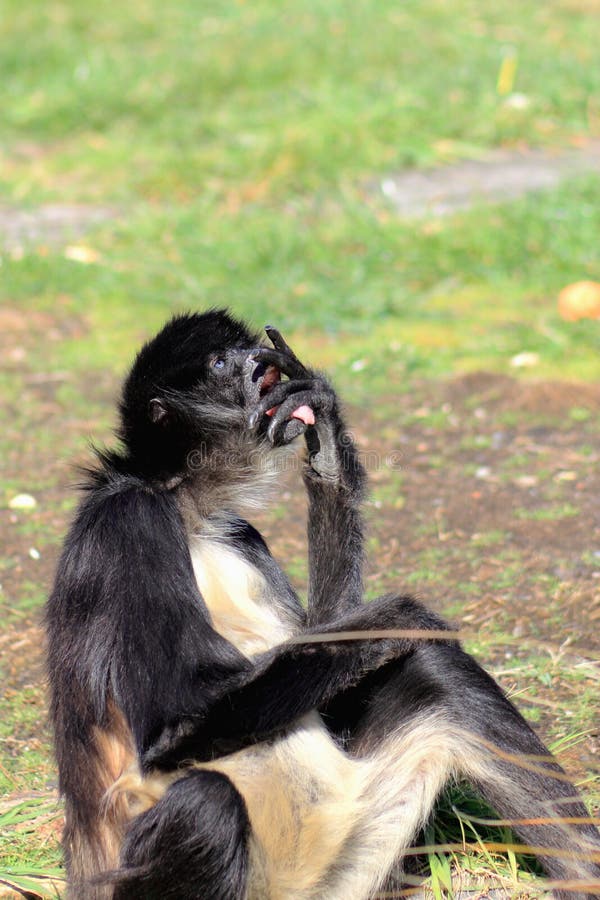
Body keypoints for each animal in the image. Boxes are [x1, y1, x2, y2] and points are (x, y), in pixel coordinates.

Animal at [47, 310, 600, 900]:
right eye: (221, 361)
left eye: (247, 347)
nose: (258, 362)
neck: (188, 508)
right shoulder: (132, 520)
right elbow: (174, 725)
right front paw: (400, 615)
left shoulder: (241, 534)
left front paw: (329, 452)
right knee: (206, 804)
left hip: (347, 863)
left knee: (440, 675)